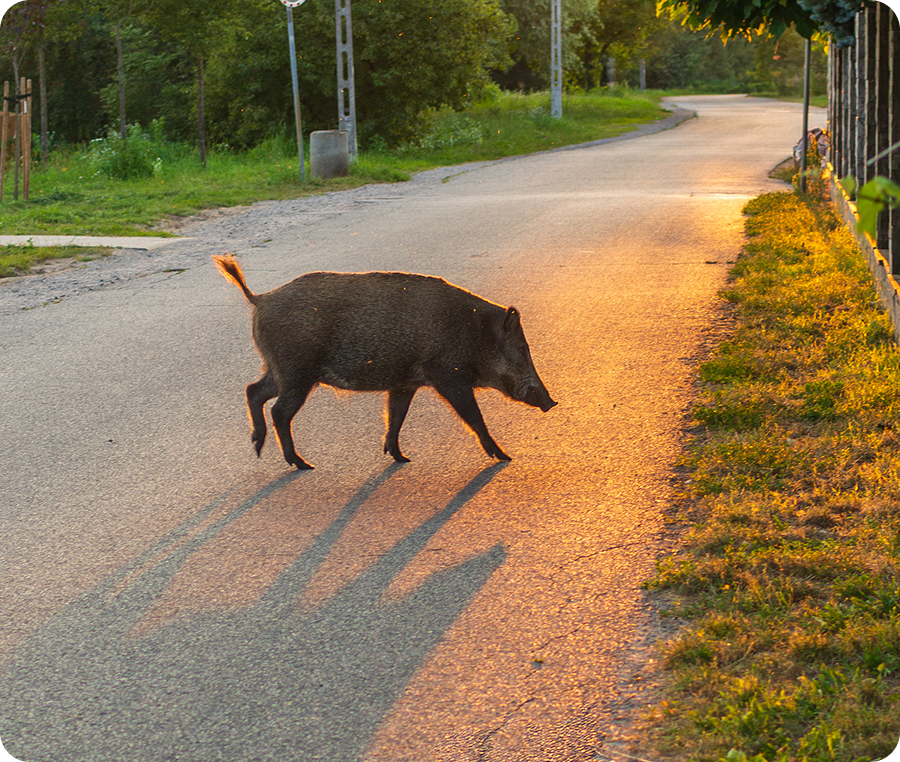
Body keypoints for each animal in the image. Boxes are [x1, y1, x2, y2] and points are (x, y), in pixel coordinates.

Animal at [213, 254, 556, 469]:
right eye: (523, 347)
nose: (551, 402)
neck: (475, 333)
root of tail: (260, 299)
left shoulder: (404, 383)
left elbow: (396, 416)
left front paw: (401, 458)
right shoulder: (449, 376)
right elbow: (474, 417)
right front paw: (505, 457)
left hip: (281, 370)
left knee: (253, 390)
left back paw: (259, 447)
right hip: (297, 372)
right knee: (279, 411)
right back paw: (302, 464)